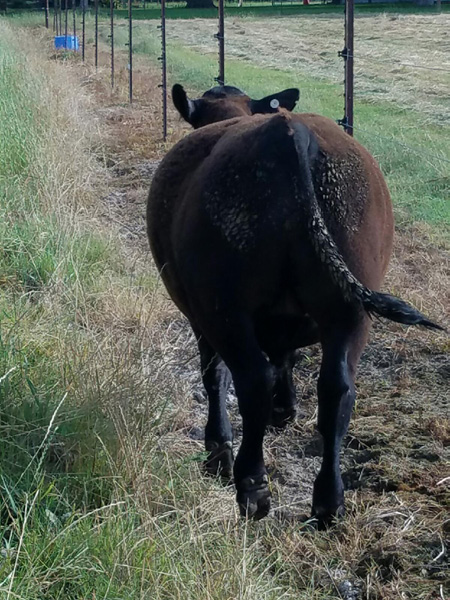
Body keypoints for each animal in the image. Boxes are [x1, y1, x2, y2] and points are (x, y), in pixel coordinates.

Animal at [147, 83, 440, 524]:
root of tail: (287, 131)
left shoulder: (200, 316)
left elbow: (217, 375)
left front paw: (219, 447)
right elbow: (284, 358)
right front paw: (284, 410)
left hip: (223, 309)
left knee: (250, 380)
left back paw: (251, 485)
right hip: (350, 309)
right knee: (337, 389)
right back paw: (328, 501)